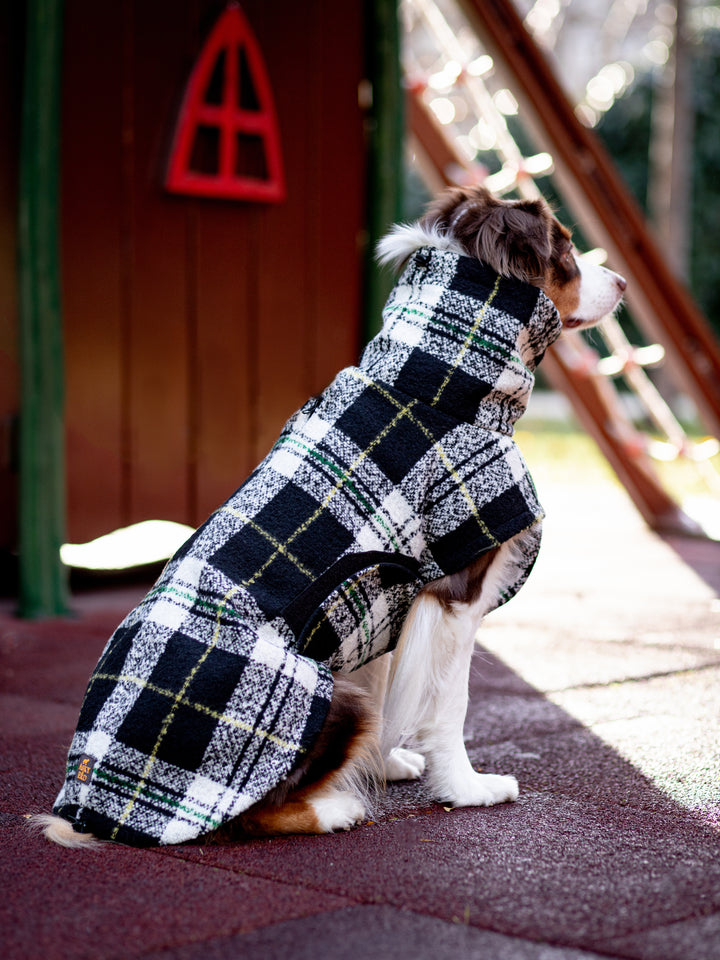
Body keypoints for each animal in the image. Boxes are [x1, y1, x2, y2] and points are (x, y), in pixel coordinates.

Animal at [31, 188, 624, 848]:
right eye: (565, 250)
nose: (623, 281)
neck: (436, 384)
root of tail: (85, 802)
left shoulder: (392, 597)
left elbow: (391, 685)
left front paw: (386, 764)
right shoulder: (455, 593)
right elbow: (450, 703)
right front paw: (467, 789)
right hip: (322, 694)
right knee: (243, 819)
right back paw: (335, 809)